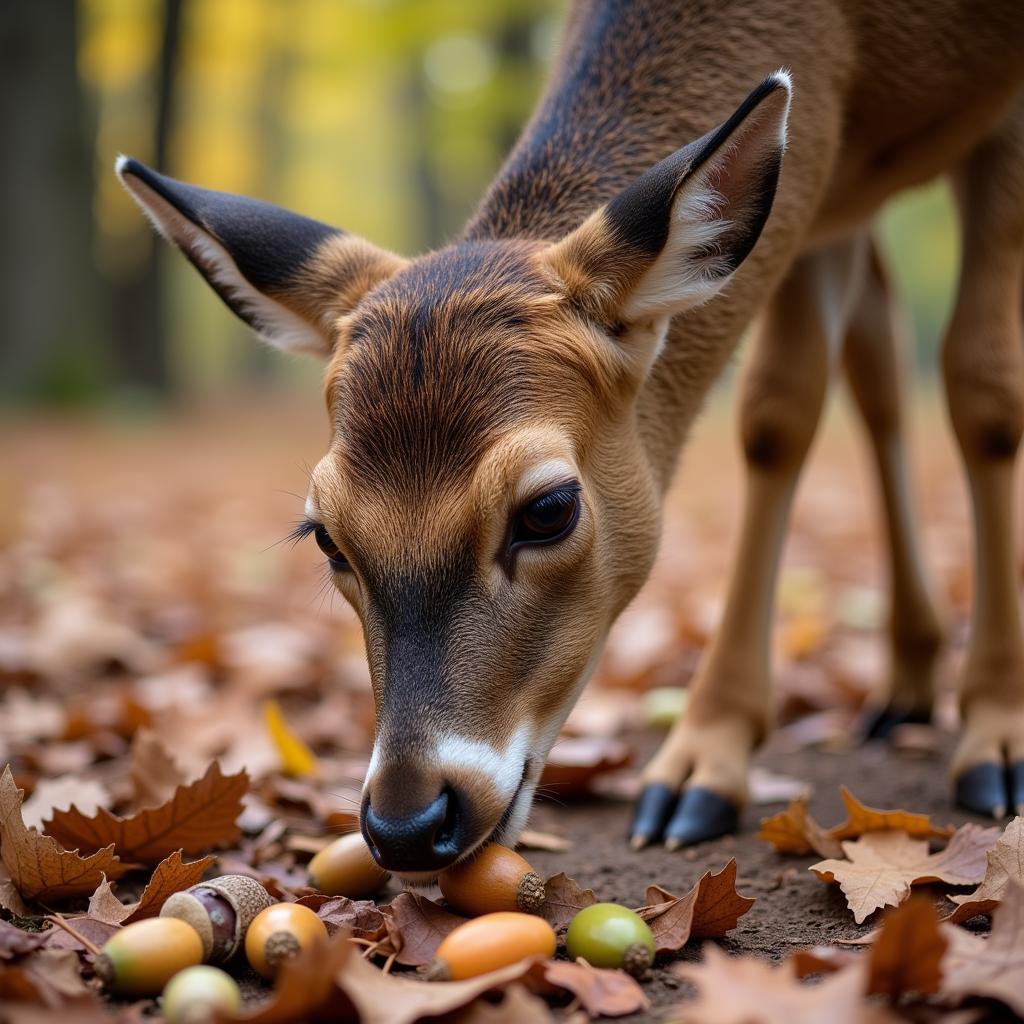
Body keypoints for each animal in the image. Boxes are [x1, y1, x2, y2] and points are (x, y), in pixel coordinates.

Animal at [116, 0, 1024, 872]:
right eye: (326, 536)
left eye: (549, 509)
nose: (408, 823)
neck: (857, 53)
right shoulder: (816, 193)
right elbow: (778, 412)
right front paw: (705, 763)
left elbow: (982, 385)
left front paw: (999, 738)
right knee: (876, 354)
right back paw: (906, 679)